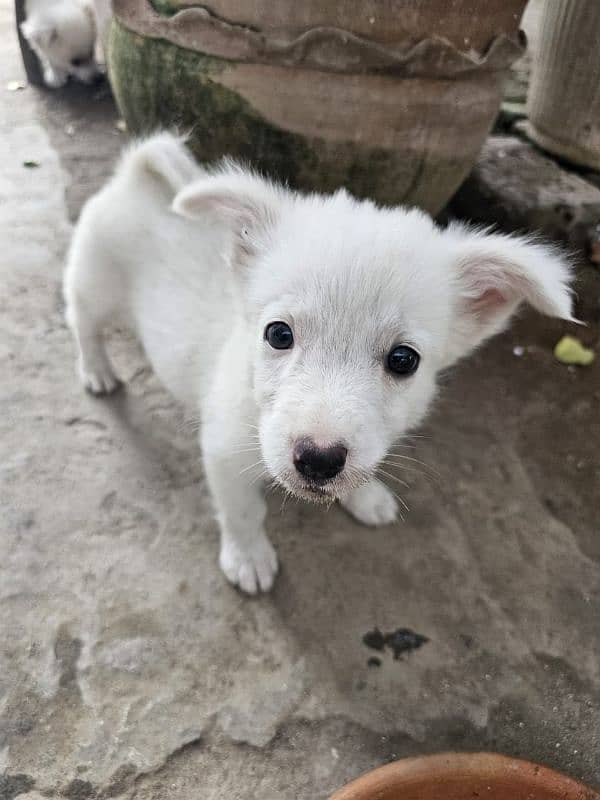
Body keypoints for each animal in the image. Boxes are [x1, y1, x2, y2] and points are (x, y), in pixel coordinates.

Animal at [63, 133, 576, 592]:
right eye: (278, 334)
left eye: (403, 360)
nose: (318, 460)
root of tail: (136, 173)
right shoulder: (224, 451)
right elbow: (242, 512)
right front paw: (248, 559)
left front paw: (365, 497)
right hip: (94, 284)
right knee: (83, 325)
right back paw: (97, 372)